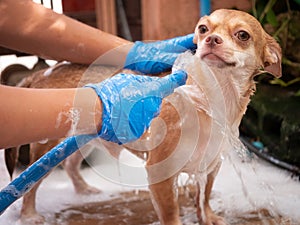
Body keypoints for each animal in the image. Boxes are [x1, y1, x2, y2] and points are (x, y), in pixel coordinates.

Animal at [9, 8, 282, 225]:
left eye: (243, 35)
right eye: (203, 29)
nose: (211, 39)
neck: (211, 102)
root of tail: (42, 72)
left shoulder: (212, 165)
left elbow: (203, 197)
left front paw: (209, 217)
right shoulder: (161, 173)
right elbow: (170, 213)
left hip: (82, 139)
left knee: (70, 165)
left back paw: (84, 189)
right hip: (46, 150)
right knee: (28, 186)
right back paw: (29, 215)